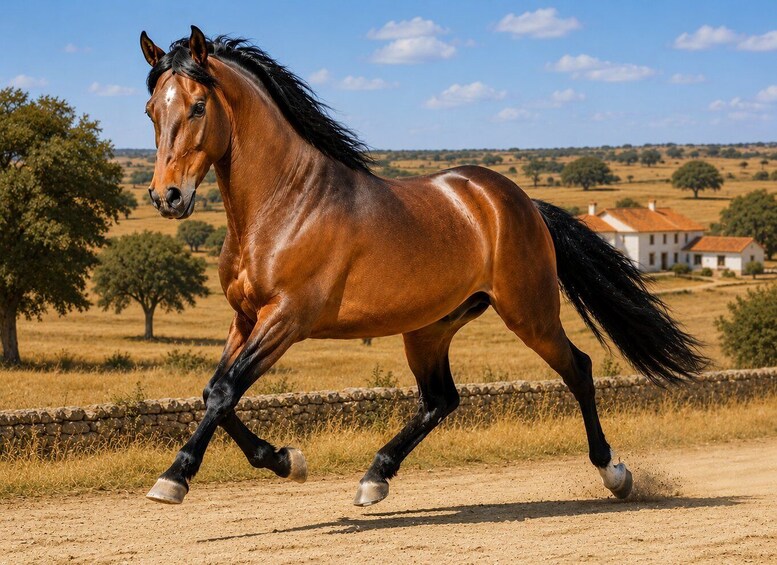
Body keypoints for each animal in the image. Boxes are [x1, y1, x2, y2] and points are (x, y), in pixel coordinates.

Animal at [139, 26, 707, 507]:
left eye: (197, 106)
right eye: (150, 110)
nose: (168, 197)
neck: (286, 203)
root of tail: (519, 201)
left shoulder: (286, 318)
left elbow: (225, 391)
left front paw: (175, 477)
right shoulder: (245, 318)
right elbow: (215, 391)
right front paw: (284, 460)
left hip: (529, 312)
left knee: (579, 369)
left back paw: (616, 474)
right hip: (431, 327)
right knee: (441, 399)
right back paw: (375, 477)